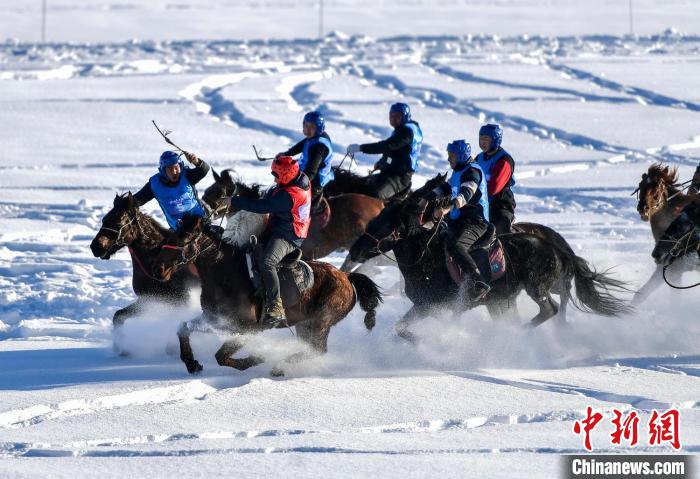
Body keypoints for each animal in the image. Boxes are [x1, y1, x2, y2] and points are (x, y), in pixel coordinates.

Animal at [89, 192, 200, 352]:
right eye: (104, 219)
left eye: (117, 223)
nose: (96, 247)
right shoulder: (149, 300)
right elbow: (118, 316)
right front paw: (121, 348)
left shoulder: (181, 301)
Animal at [150, 216, 386, 376]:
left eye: (184, 238)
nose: (157, 269)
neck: (225, 274)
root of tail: (346, 277)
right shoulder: (216, 319)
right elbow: (183, 328)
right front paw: (192, 363)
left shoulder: (249, 328)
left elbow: (221, 356)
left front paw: (255, 358)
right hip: (305, 323)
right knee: (312, 349)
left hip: (322, 321)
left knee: (317, 350)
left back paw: (279, 367)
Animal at [348, 175, 628, 342]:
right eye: (374, 219)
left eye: (387, 225)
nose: (354, 251)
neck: (426, 258)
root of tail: (559, 249)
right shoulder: (424, 306)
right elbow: (399, 329)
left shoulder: (442, 306)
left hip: (537, 286)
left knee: (551, 307)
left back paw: (518, 333)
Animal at [632, 163, 696, 302]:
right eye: (641, 185)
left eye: (657, 189)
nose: (643, 209)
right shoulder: (664, 269)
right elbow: (640, 295)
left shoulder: (674, 271)